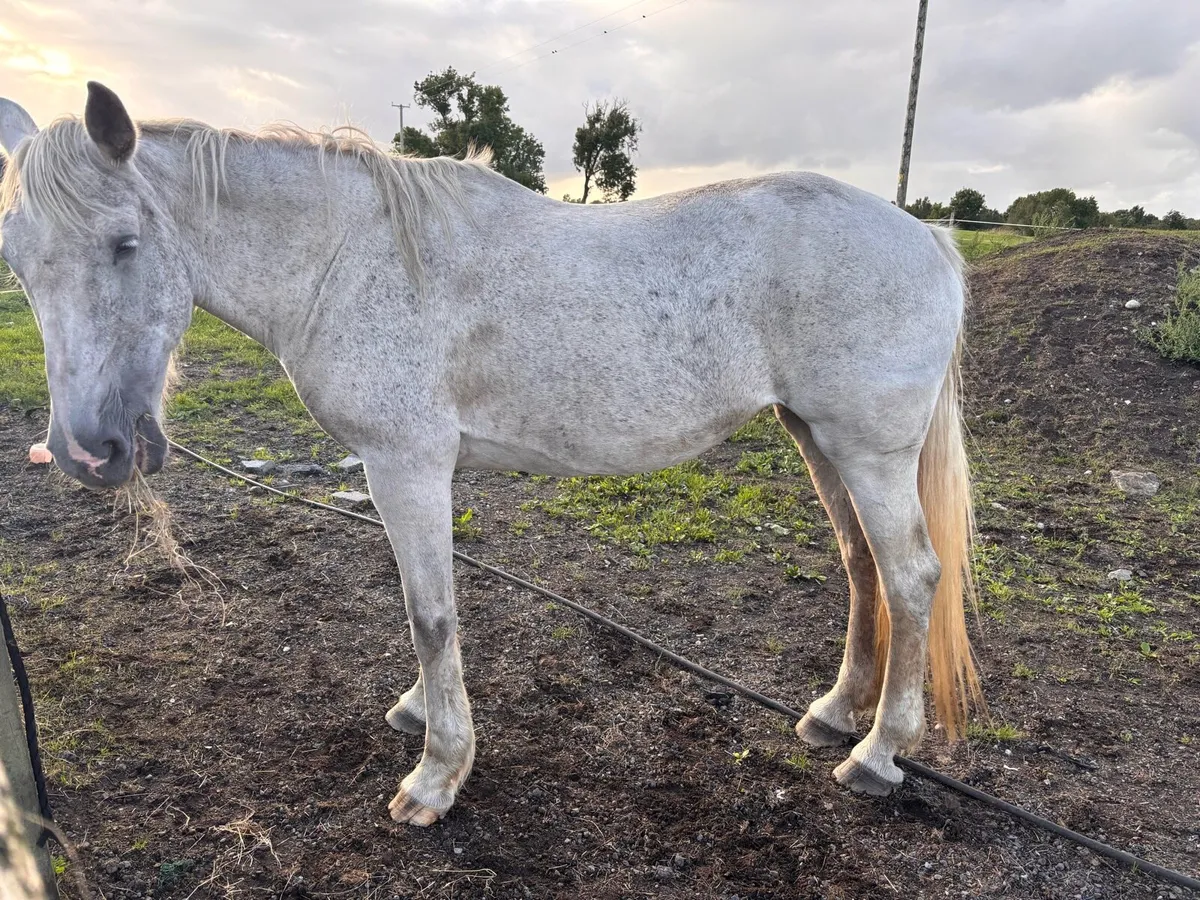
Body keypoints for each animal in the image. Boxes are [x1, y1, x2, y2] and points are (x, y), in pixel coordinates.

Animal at [0, 82, 981, 827]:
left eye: (125, 244)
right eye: (16, 260)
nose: (86, 452)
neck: (346, 259)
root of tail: (926, 236)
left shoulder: (405, 466)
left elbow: (430, 613)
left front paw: (438, 774)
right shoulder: (408, 474)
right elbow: (427, 608)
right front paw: (418, 715)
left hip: (869, 452)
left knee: (911, 576)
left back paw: (878, 752)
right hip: (816, 439)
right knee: (862, 567)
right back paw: (835, 713)